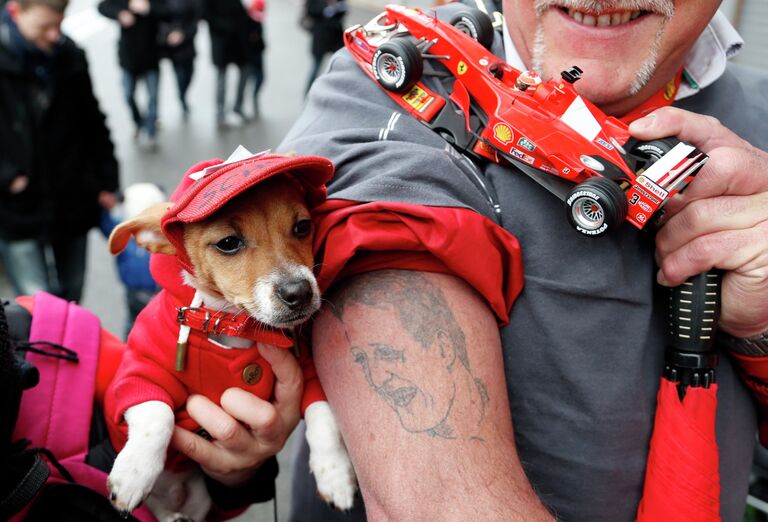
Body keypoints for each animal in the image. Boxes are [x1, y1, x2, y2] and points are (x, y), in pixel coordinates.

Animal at [103, 148, 358, 516]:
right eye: (228, 243)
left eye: (303, 226)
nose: (299, 292)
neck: (232, 325)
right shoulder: (139, 370)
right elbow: (156, 413)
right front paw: (133, 473)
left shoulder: (310, 371)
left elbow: (323, 417)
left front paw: (334, 475)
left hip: (199, 498)